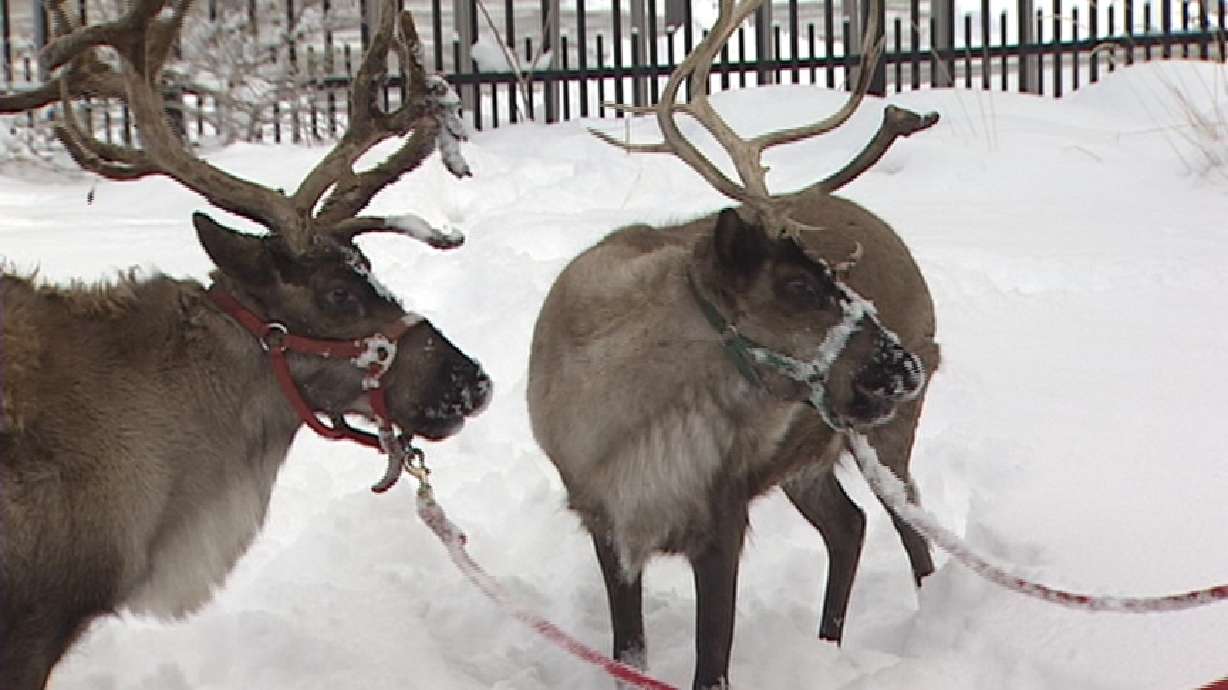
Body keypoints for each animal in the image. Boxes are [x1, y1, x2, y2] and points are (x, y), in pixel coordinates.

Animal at [526, 0, 939, 687]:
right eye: (799, 285)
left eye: (836, 275)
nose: (905, 364)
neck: (636, 424)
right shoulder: (603, 519)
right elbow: (628, 654)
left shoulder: (722, 518)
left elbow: (711, 665)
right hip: (811, 457)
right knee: (849, 526)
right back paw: (826, 646)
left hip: (888, 437)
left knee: (913, 529)